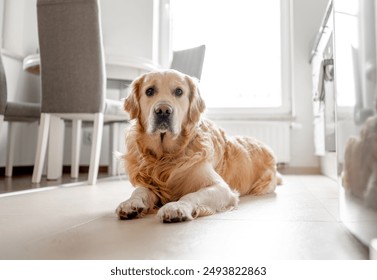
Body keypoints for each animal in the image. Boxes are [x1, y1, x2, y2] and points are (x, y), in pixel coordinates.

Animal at [116, 70, 280, 223]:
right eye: (149, 91)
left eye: (179, 91)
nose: (163, 111)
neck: (166, 156)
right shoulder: (152, 185)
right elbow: (140, 190)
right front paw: (130, 203)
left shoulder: (221, 188)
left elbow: (192, 195)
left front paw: (177, 207)